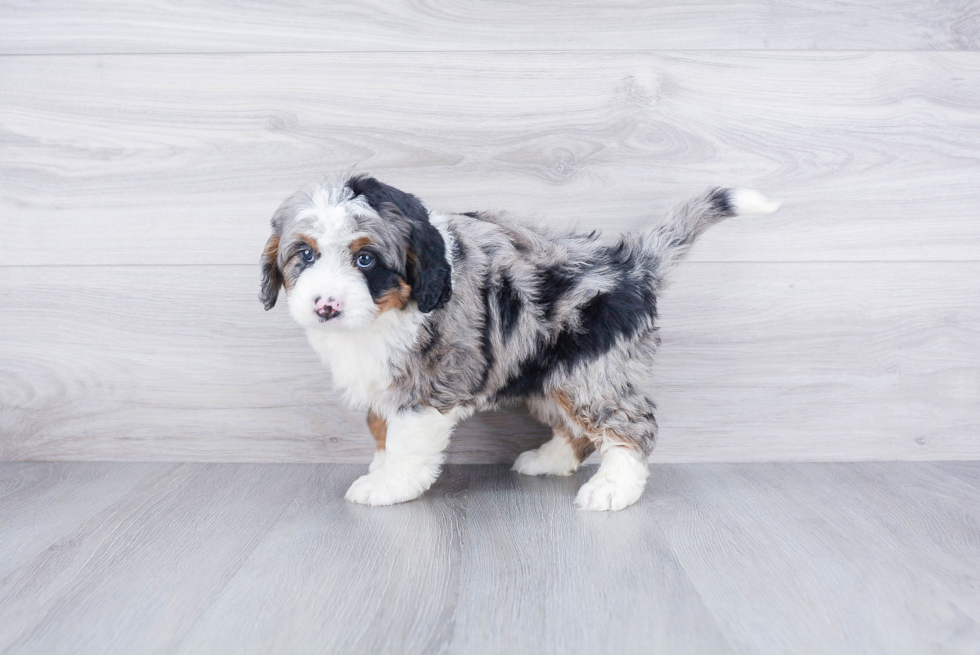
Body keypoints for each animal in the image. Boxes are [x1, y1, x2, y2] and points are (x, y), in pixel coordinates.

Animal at [256, 174, 776, 512]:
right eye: (305, 254)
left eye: (365, 259)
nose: (326, 306)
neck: (384, 315)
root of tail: (628, 265)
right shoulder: (383, 382)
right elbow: (381, 431)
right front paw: (379, 471)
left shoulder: (429, 383)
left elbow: (404, 441)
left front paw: (389, 486)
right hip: (550, 376)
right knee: (577, 432)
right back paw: (548, 461)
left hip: (593, 372)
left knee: (632, 426)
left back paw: (613, 489)